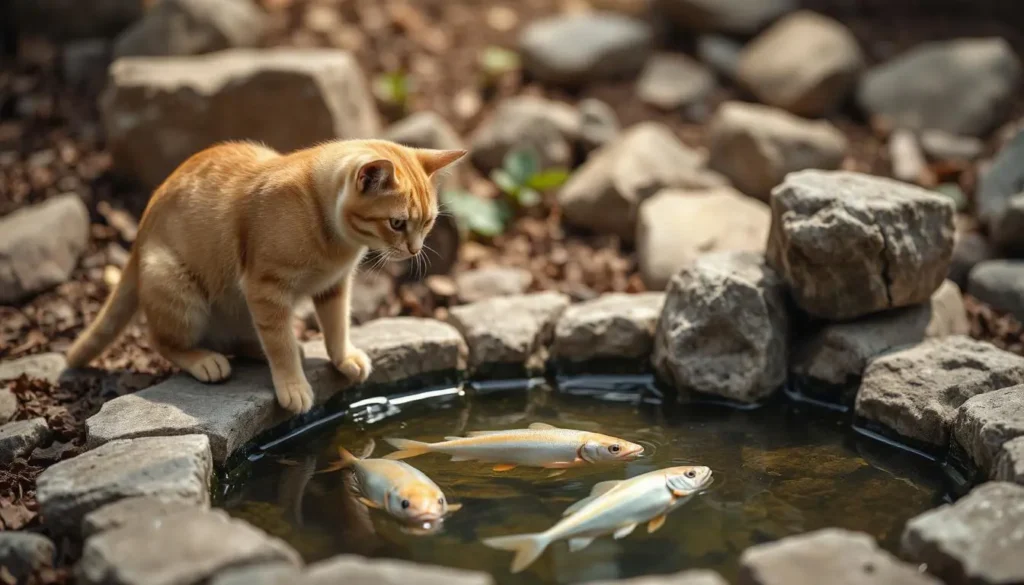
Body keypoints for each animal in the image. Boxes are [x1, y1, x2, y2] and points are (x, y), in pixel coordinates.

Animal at [64, 139, 464, 413]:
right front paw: (293, 386)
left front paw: (343, 357)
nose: (414, 249)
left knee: (240, 338)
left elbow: (336, 327)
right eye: (397, 223)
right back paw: (204, 360)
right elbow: (280, 344)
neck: (335, 242)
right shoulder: (265, 289)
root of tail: (137, 243)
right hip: (176, 287)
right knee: (162, 341)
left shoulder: (335, 287)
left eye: (427, 223)